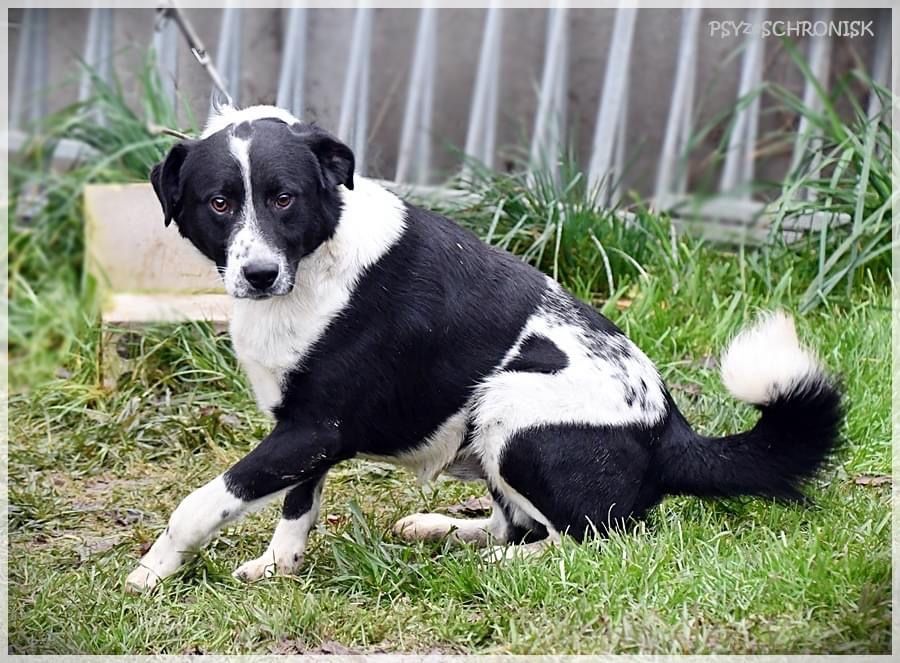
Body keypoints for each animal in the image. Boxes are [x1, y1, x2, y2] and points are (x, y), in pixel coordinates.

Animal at [126, 104, 844, 592]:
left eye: (283, 198)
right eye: (220, 203)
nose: (259, 275)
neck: (315, 263)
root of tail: (670, 427)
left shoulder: (312, 430)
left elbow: (200, 504)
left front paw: (153, 570)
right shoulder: (306, 431)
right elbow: (298, 506)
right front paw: (280, 565)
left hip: (513, 410)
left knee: (590, 539)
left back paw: (501, 562)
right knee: (518, 521)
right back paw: (443, 529)